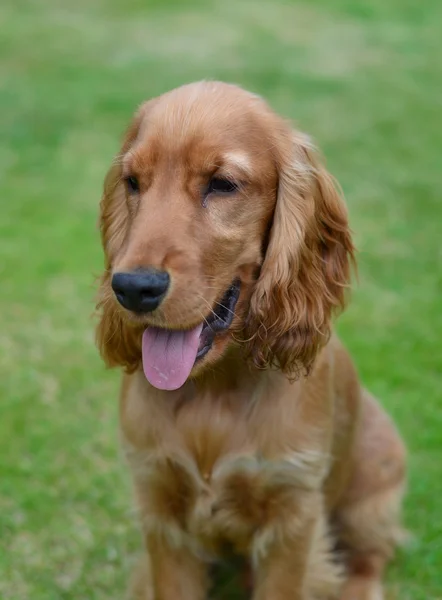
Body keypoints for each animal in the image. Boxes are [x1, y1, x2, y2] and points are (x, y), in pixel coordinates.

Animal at [95, 81, 406, 600]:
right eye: (133, 182)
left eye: (222, 184)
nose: (133, 288)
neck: (216, 390)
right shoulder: (159, 505)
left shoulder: (292, 514)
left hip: (374, 493)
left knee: (369, 558)